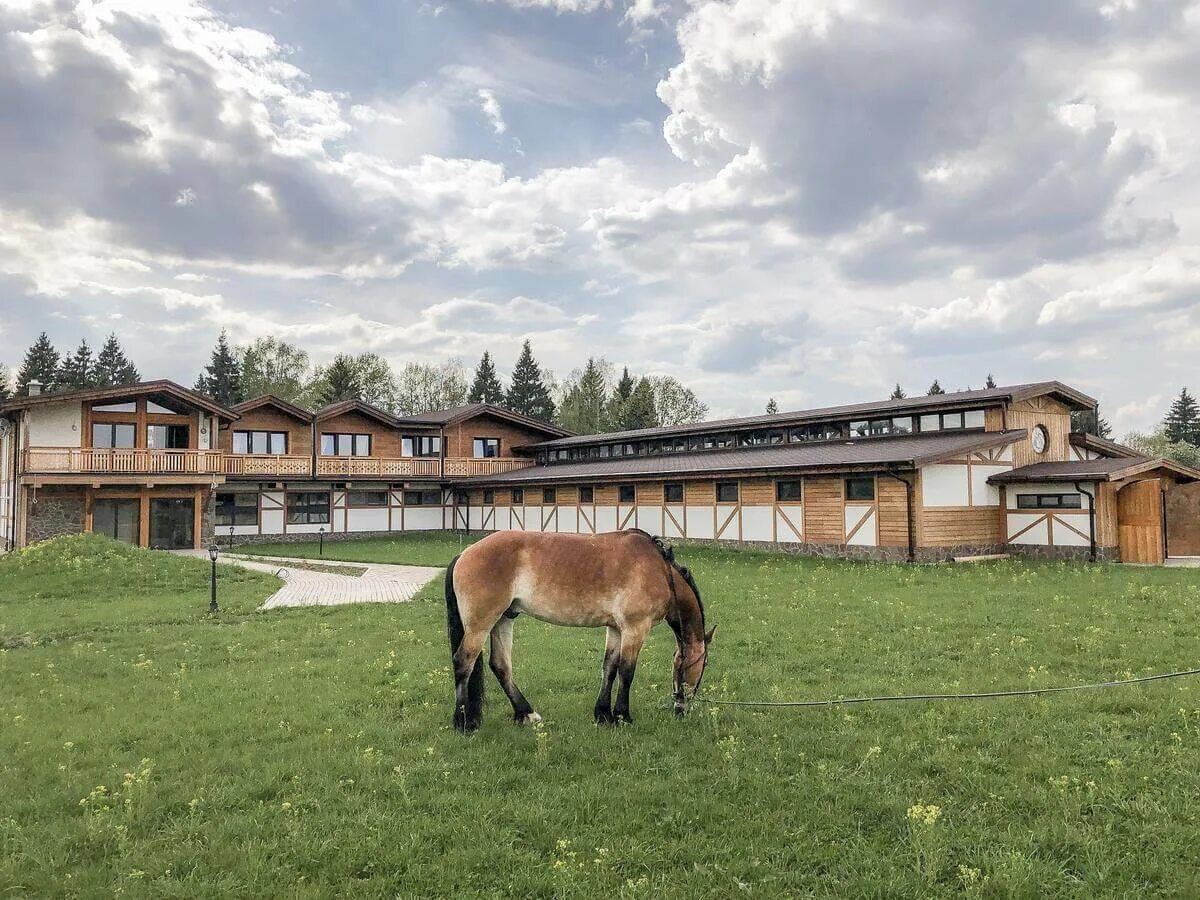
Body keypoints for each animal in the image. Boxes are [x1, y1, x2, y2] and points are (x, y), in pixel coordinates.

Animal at [448, 528, 710, 734]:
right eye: (704, 664)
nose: (681, 709)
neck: (660, 570)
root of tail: (465, 554)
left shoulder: (615, 629)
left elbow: (609, 668)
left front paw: (603, 714)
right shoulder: (635, 628)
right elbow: (626, 671)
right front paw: (623, 716)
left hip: (503, 620)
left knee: (501, 666)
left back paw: (526, 714)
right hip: (481, 625)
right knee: (463, 662)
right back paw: (463, 722)